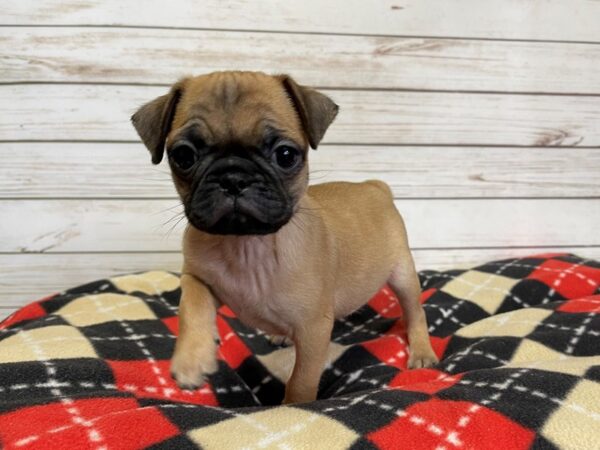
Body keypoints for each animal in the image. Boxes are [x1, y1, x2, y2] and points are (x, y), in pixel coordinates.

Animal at [132, 71, 436, 404]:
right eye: (184, 156)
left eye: (286, 155)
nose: (233, 177)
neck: (247, 244)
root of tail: (374, 185)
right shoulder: (196, 277)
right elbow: (192, 306)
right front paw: (192, 359)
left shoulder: (314, 330)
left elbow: (301, 380)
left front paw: (293, 408)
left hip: (403, 274)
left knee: (415, 311)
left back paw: (422, 351)